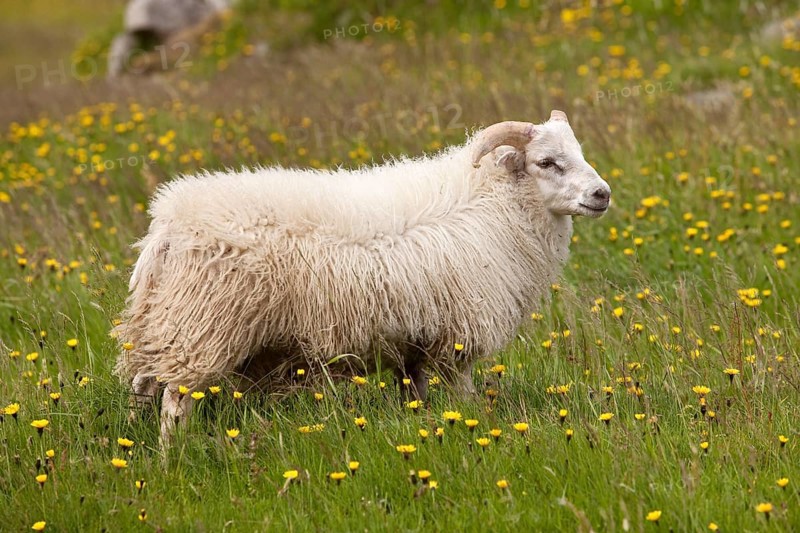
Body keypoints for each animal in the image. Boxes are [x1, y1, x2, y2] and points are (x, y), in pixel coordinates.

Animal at [114, 109, 611, 443]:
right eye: (546, 162)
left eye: (580, 153)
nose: (602, 194)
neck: (491, 204)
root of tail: (168, 222)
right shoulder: (459, 336)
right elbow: (463, 393)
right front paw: (475, 423)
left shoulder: (416, 340)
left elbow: (417, 390)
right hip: (203, 327)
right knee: (174, 401)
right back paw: (172, 456)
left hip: (163, 321)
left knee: (143, 387)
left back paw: (134, 445)